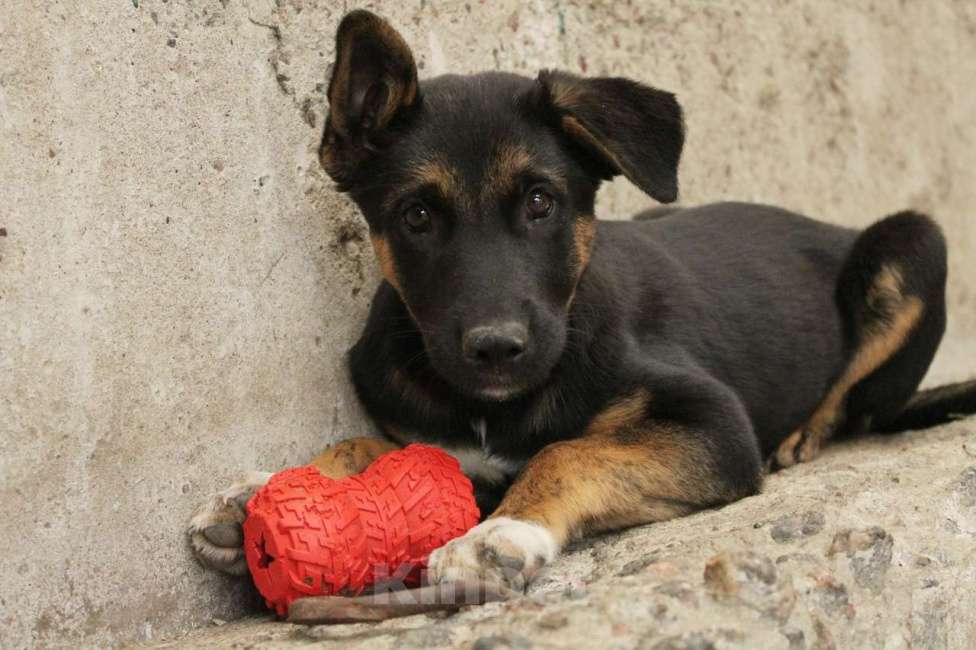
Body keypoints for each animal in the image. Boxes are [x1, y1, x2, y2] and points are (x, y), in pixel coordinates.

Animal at [187, 7, 972, 588]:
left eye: (541, 202)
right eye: (416, 215)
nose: (496, 348)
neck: (490, 407)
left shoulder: (715, 424)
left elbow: (568, 452)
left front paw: (501, 534)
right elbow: (366, 444)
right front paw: (262, 489)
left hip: (915, 242)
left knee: (853, 402)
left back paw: (803, 436)